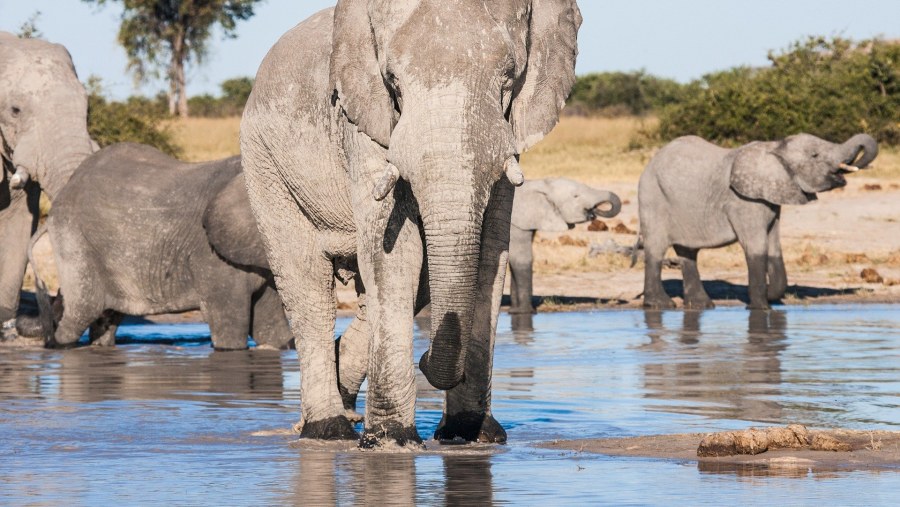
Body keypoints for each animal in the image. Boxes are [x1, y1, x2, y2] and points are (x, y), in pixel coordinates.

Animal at [37, 143, 292, 350]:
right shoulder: (211, 259)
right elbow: (230, 332)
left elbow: (271, 331)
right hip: (72, 237)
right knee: (80, 313)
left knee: (107, 320)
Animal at [239, 0, 580, 448]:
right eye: (393, 83)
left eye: (508, 79)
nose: (425, 357)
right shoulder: (365, 126)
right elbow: (397, 254)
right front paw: (390, 440)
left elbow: (490, 253)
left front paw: (470, 434)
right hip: (264, 165)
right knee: (305, 283)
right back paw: (328, 430)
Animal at [640, 133, 880, 312]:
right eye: (815, 155)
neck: (774, 148)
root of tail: (652, 161)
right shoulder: (743, 201)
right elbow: (756, 247)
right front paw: (761, 308)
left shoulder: (772, 199)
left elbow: (773, 246)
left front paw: (772, 296)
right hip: (653, 197)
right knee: (656, 248)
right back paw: (660, 305)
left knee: (688, 252)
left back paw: (702, 305)